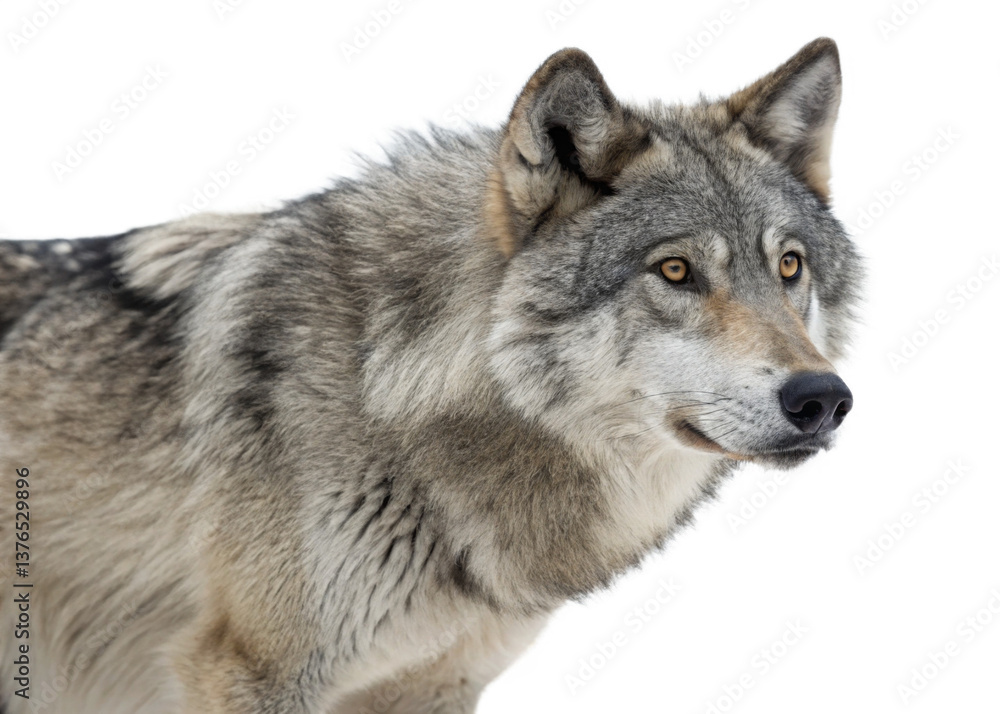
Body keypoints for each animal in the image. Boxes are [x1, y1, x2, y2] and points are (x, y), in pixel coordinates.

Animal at [0, 38, 860, 713]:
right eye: (675, 270)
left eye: (789, 266)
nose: (821, 399)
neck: (388, 390)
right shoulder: (245, 672)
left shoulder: (435, 684)